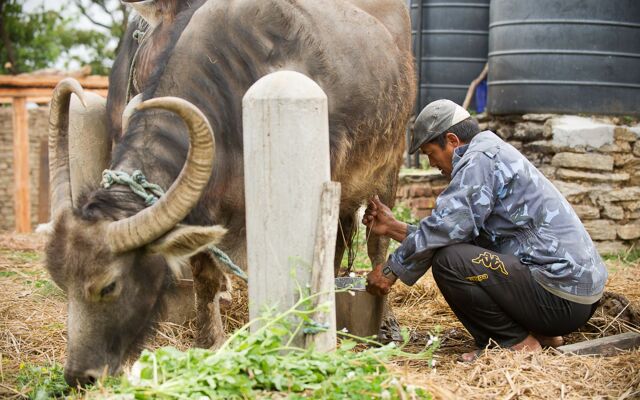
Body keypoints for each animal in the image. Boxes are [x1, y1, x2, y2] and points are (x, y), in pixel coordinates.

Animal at [45, 0, 416, 388]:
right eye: (61, 280)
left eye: (109, 286)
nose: (79, 375)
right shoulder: (203, 208)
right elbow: (206, 278)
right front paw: (209, 343)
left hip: (388, 167)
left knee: (376, 246)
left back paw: (386, 320)